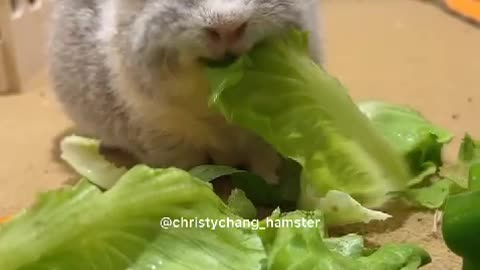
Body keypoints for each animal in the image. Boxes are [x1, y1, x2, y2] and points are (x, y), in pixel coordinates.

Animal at [47, 0, 322, 184]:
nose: (228, 28)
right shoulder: (167, 137)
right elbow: (188, 168)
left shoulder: (265, 135)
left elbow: (264, 159)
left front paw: (271, 182)